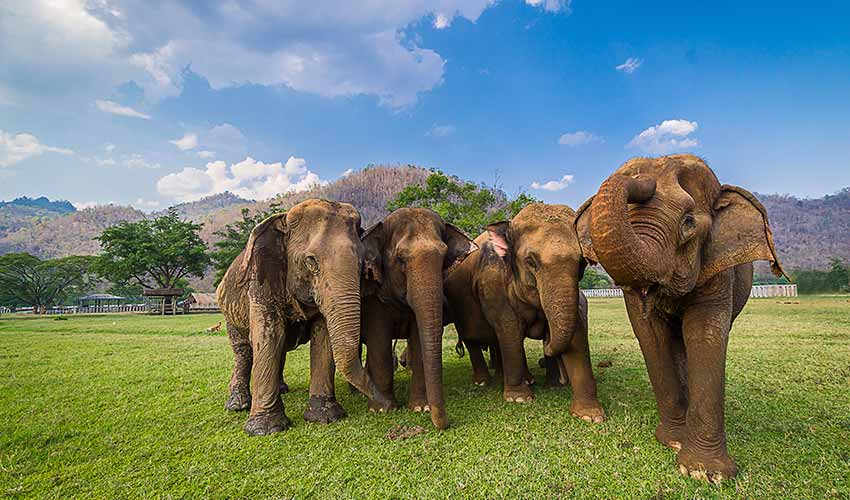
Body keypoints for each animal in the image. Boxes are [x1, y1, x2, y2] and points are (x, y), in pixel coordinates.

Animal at [215, 198, 388, 434]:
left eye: (362, 263)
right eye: (311, 261)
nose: (385, 405)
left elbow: (322, 337)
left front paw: (325, 418)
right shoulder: (261, 281)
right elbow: (268, 335)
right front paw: (265, 430)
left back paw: (282, 389)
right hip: (229, 312)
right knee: (243, 351)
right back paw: (237, 405)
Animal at [358, 207, 476, 430]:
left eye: (444, 257)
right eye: (400, 259)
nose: (446, 424)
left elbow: (419, 339)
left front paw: (421, 408)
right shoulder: (374, 299)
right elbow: (379, 341)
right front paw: (382, 410)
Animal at [444, 203, 604, 422]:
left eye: (581, 263)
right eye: (531, 261)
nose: (546, 347)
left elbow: (577, 333)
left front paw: (590, 415)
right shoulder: (494, 284)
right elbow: (509, 329)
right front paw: (519, 398)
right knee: (474, 339)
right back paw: (484, 382)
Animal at [572, 155, 784, 480]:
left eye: (688, 222)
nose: (641, 176)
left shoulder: (718, 270)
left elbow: (705, 332)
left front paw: (705, 472)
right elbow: (650, 334)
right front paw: (673, 441)